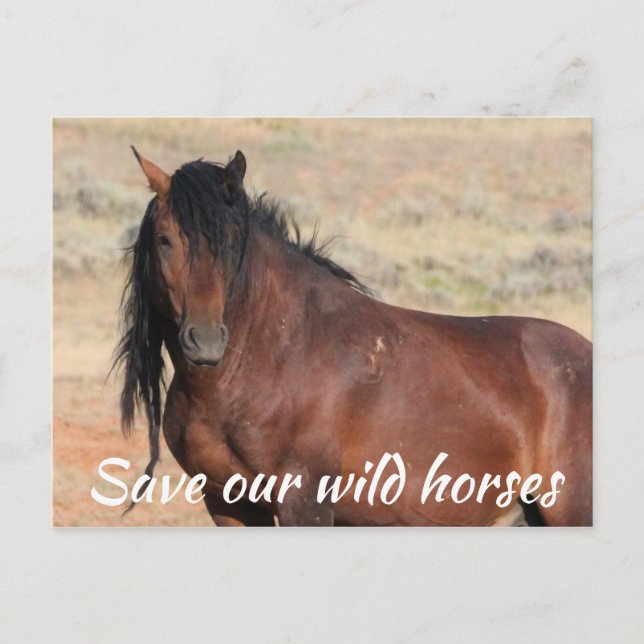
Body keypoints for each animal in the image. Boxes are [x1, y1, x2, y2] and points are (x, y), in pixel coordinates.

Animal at [113, 147, 592, 527]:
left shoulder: (305, 501)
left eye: (233, 240)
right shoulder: (229, 504)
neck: (272, 354)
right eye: (165, 239)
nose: (206, 342)